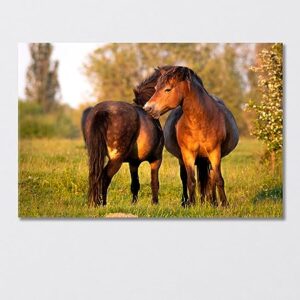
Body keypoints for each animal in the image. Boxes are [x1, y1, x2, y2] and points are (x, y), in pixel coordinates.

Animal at [85, 67, 172, 205]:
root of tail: (102, 112)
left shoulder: (133, 163)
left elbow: (135, 184)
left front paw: (133, 204)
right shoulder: (156, 159)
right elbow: (154, 183)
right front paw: (155, 203)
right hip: (116, 159)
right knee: (104, 177)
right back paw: (103, 204)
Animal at [144, 66, 240, 206]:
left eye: (168, 89)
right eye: (156, 88)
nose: (147, 108)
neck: (200, 121)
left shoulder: (215, 152)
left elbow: (219, 179)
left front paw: (224, 204)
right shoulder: (188, 154)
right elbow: (191, 180)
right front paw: (192, 204)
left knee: (211, 178)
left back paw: (213, 202)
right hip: (184, 159)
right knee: (185, 178)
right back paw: (186, 202)